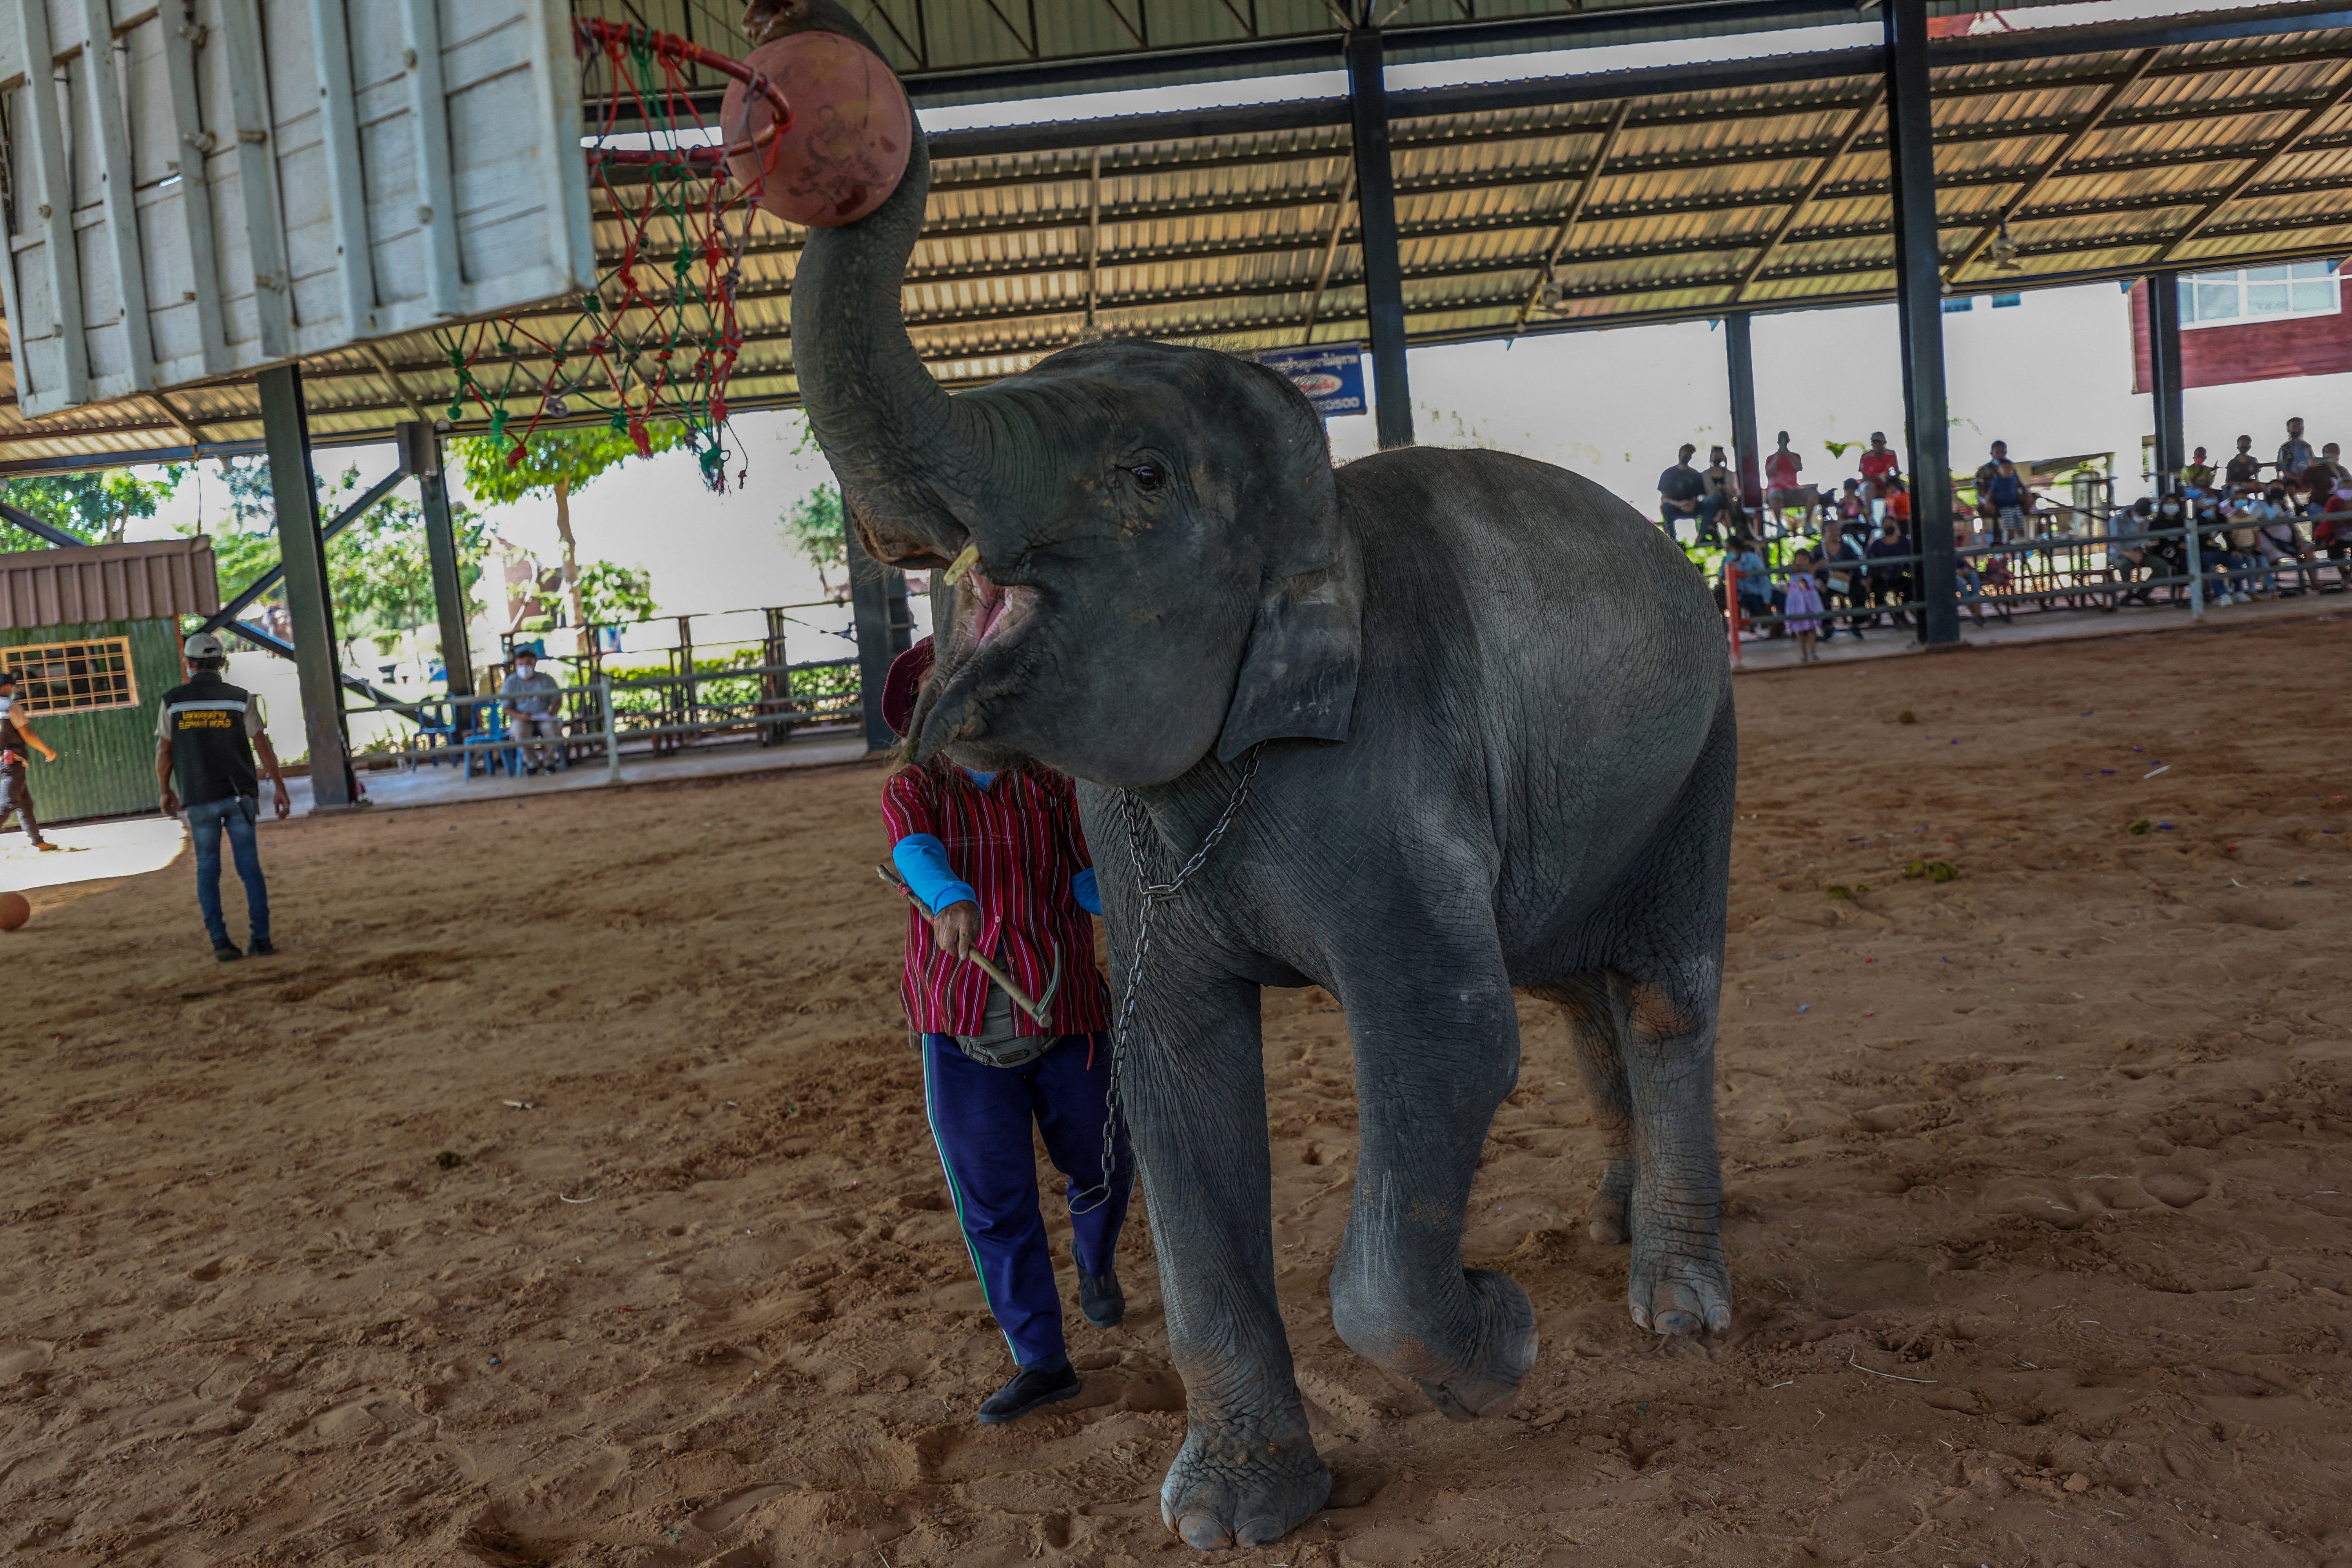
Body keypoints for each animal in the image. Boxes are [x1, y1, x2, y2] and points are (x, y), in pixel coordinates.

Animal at [771, 3, 1731, 1542]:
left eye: (1145, 476)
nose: (808, 50)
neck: (1313, 508)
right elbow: (1172, 1078)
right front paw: (1234, 1517)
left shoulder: (1394, 761)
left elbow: (1446, 1041)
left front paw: (1504, 1334)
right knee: (1575, 991)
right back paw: (1609, 1218)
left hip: (1706, 742)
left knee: (1654, 995)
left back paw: (1677, 1302)